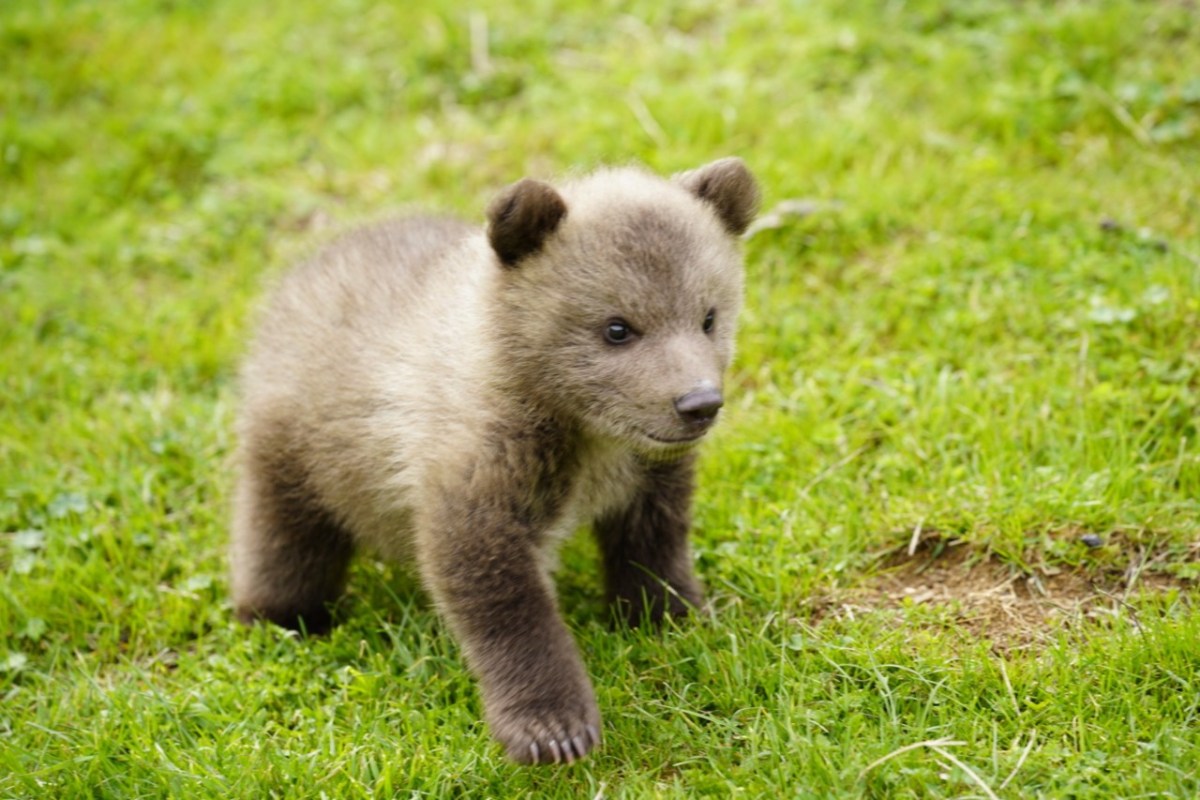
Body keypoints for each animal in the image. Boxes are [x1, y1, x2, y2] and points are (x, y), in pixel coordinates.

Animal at [230, 158, 759, 764]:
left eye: (708, 316)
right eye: (617, 327)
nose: (698, 403)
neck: (583, 431)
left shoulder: (647, 471)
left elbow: (654, 540)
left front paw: (673, 614)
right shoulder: (479, 467)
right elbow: (500, 595)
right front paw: (551, 726)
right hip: (298, 443)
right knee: (283, 533)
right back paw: (280, 614)